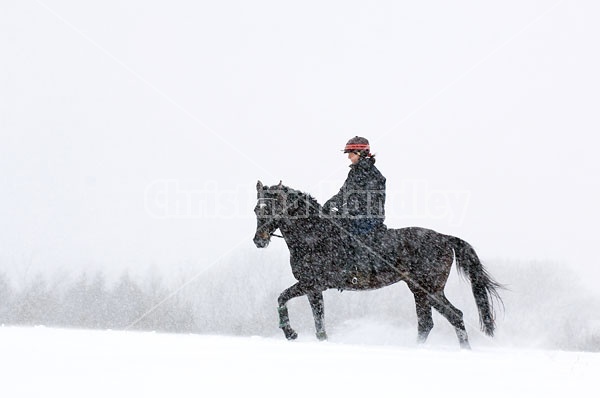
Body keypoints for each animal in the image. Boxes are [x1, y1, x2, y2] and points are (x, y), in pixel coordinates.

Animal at [252, 180, 502, 348]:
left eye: (271, 208)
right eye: (257, 209)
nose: (258, 240)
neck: (314, 235)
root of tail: (444, 237)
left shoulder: (311, 283)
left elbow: (282, 298)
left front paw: (290, 333)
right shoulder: (313, 288)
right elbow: (318, 321)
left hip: (429, 289)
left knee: (453, 316)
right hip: (419, 291)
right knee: (429, 322)